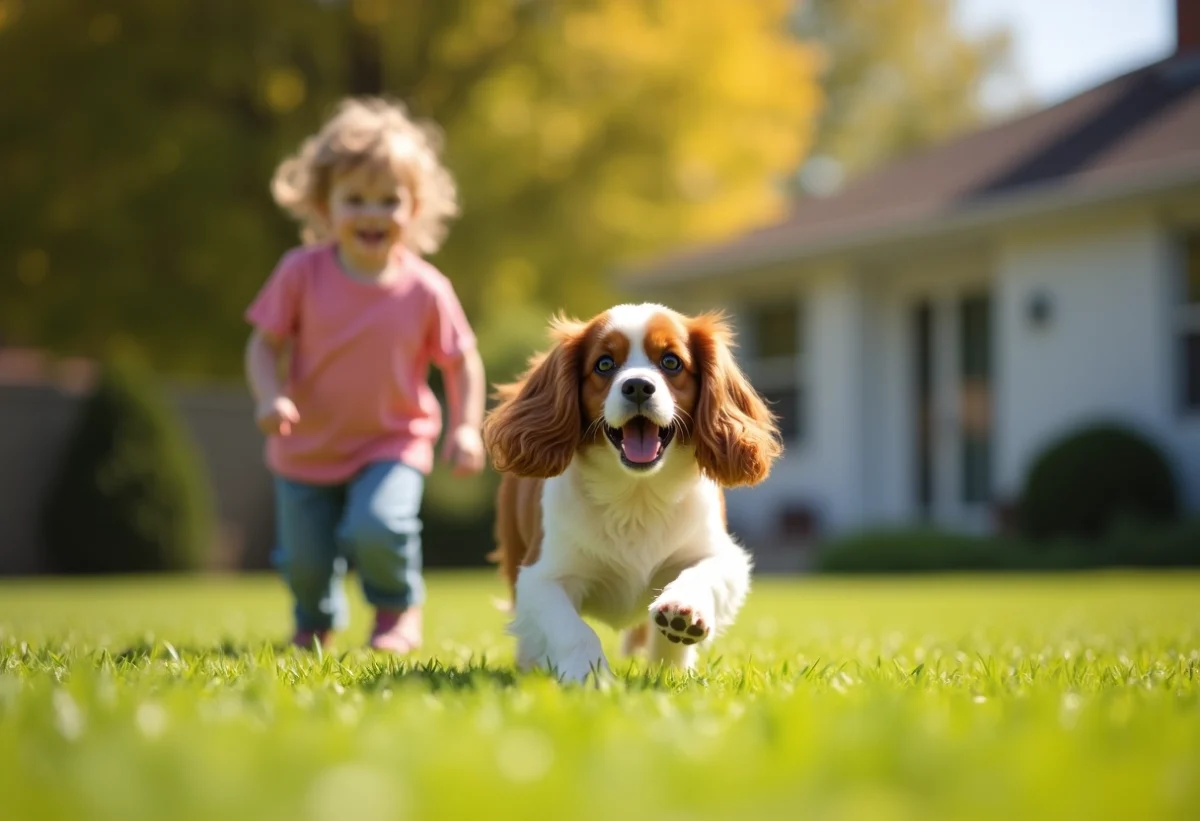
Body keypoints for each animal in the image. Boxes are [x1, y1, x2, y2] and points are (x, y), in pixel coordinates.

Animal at [482, 304, 782, 681]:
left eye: (671, 362)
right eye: (604, 364)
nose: (638, 385)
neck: (637, 493)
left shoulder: (721, 554)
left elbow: (703, 575)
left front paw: (683, 612)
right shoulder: (541, 576)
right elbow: (573, 630)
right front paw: (590, 676)